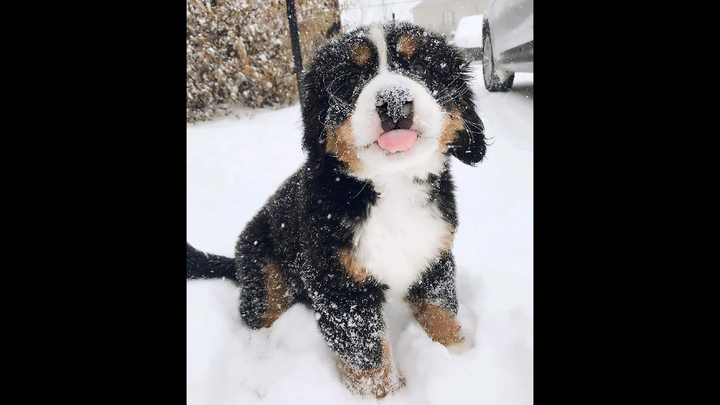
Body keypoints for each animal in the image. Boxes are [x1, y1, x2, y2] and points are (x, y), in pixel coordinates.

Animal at [188, 20, 486, 396]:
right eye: (350, 78)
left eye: (420, 67)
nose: (394, 101)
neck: (392, 187)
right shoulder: (340, 286)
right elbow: (368, 358)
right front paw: (387, 396)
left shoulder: (434, 259)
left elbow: (441, 313)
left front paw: (458, 358)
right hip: (265, 271)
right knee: (258, 315)